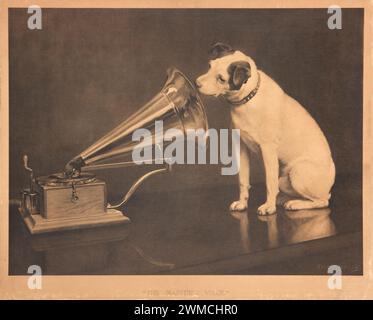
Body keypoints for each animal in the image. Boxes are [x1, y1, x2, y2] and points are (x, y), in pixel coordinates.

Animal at [195, 41, 334, 214]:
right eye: (209, 65)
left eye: (221, 78)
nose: (196, 83)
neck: (248, 99)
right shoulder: (241, 148)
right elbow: (243, 179)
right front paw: (242, 203)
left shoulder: (268, 150)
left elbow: (269, 182)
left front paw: (269, 207)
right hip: (284, 179)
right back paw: (284, 199)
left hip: (298, 172)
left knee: (321, 201)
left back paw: (295, 204)